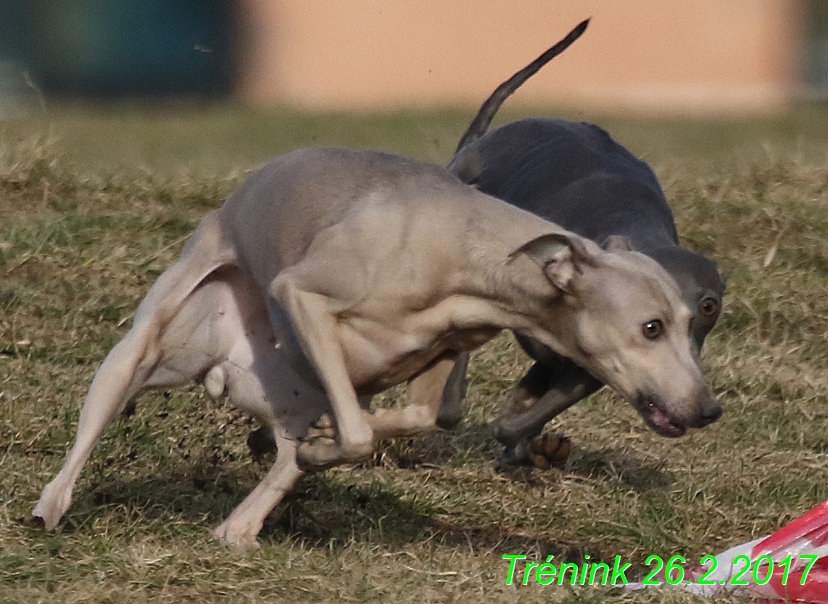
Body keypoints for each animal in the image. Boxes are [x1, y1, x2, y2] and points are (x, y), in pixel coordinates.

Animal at [440, 21, 724, 464]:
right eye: (651, 325)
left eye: (709, 306)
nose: (706, 407)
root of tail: (479, 143)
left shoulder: (589, 364)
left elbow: (519, 417)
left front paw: (531, 446)